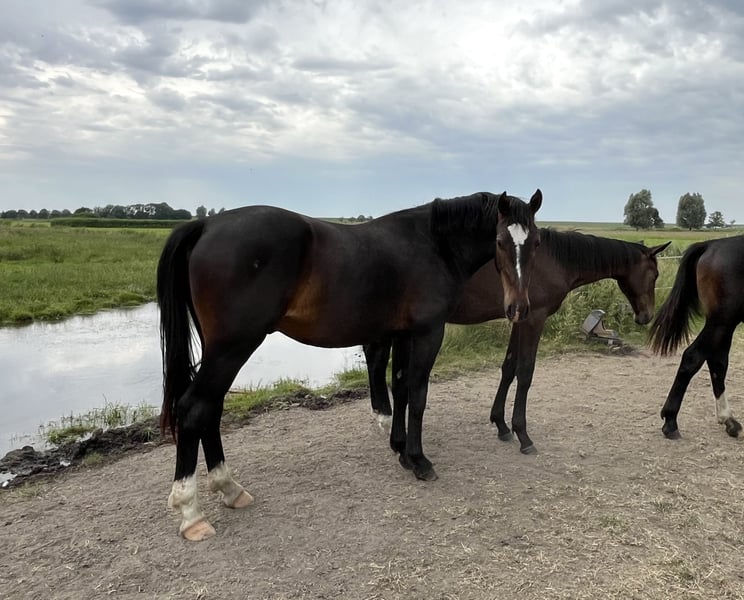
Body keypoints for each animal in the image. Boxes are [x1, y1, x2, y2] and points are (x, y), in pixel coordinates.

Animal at [157, 190, 543, 540]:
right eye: (499, 240)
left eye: (536, 241)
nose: (519, 308)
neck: (432, 244)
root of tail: (207, 224)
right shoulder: (428, 333)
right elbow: (417, 395)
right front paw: (419, 460)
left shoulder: (402, 334)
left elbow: (400, 389)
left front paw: (401, 449)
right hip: (233, 347)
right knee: (194, 409)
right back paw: (191, 513)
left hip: (221, 351)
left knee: (211, 409)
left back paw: (229, 488)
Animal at [365, 230, 670, 454]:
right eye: (654, 274)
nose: (646, 316)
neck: (553, 260)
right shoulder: (534, 319)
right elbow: (525, 372)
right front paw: (523, 435)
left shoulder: (518, 320)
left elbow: (509, 367)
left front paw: (501, 424)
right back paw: (385, 416)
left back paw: (383, 413)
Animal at [648, 235, 744, 440]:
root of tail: (711, 244)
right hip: (721, 321)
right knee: (693, 357)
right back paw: (670, 421)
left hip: (724, 325)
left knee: (717, 362)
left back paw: (729, 420)